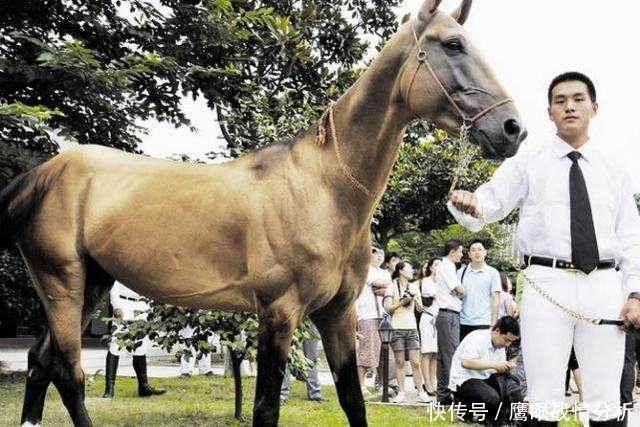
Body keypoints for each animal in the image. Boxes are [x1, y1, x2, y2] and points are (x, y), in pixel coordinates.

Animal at [2, 1, 524, 426]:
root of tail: (44, 173)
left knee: (40, 362)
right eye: (453, 44)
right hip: (63, 282)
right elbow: (266, 408)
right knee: (69, 374)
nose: (512, 128)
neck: (323, 186)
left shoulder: (336, 315)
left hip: (90, 283)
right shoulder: (279, 314)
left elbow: (353, 400)